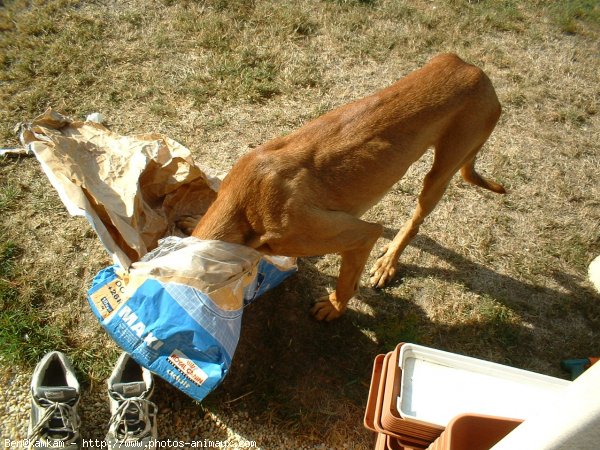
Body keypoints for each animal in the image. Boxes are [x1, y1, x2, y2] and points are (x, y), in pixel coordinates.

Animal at [193, 53, 506, 320]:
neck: (245, 208)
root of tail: (472, 69)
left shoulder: (359, 235)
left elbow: (348, 281)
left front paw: (334, 307)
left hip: (441, 173)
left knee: (415, 222)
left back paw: (388, 262)